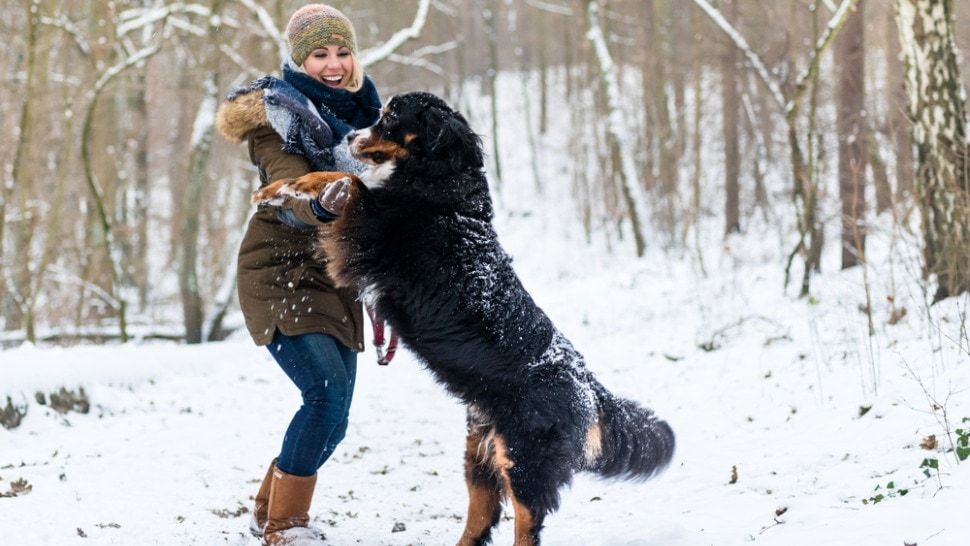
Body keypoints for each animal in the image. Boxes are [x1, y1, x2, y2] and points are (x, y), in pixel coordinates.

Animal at [251, 91, 672, 540]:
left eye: (390, 118)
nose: (349, 136)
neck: (438, 180)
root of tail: (588, 385)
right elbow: (339, 176)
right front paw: (274, 190)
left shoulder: (369, 227)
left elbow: (344, 180)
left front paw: (288, 187)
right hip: (480, 458)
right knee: (478, 523)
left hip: (523, 463)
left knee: (527, 527)